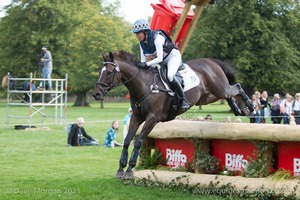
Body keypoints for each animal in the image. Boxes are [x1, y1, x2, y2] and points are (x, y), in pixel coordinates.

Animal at [92, 50, 253, 178]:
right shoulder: (137, 117)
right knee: (230, 94)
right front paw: (121, 168)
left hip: (219, 89)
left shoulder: (152, 119)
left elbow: (138, 141)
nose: (96, 94)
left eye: (109, 73)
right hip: (208, 96)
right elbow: (127, 141)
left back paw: (249, 107)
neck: (143, 84)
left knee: (236, 87)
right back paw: (239, 109)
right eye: (100, 72)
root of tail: (211, 61)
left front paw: (130, 169)